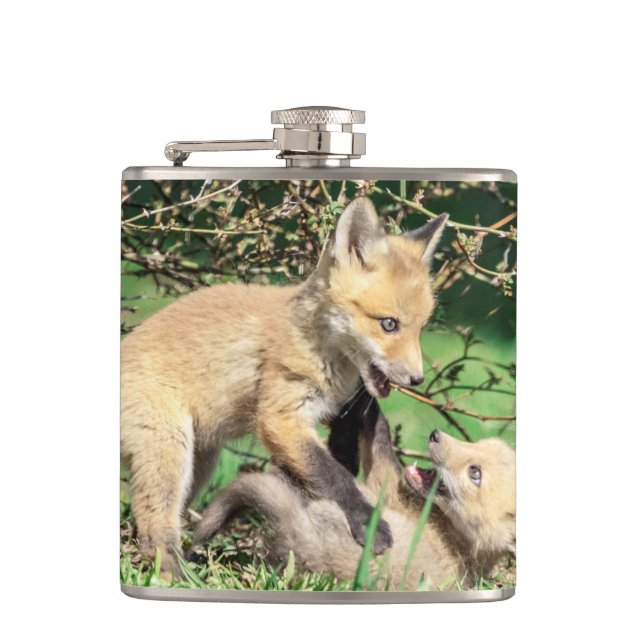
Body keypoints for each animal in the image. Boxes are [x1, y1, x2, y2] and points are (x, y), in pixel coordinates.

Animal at [120, 195, 448, 574]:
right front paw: (369, 525)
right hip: (170, 449)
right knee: (153, 529)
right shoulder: (280, 417)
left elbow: (344, 450)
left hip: (200, 461)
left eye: (420, 328)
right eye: (389, 324)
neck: (315, 343)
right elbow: (333, 475)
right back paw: (178, 574)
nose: (417, 379)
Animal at [194, 391, 516, 590]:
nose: (435, 435)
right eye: (477, 444)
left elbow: (381, 441)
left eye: (475, 473)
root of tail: (299, 535)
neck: (462, 544)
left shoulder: (390, 493)